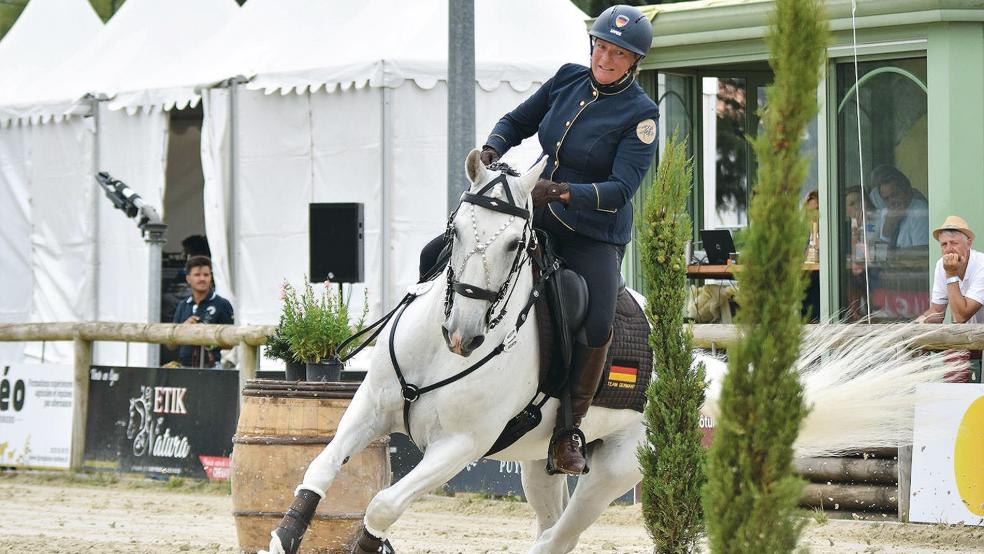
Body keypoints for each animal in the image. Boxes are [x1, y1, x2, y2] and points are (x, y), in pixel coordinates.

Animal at [266, 148, 956, 552]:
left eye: (516, 243)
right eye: (456, 231)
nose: (463, 335)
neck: (447, 354)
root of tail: (695, 372)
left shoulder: (459, 446)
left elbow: (382, 504)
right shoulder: (372, 407)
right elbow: (318, 468)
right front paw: (284, 536)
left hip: (611, 474)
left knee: (555, 542)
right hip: (538, 467)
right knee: (548, 532)